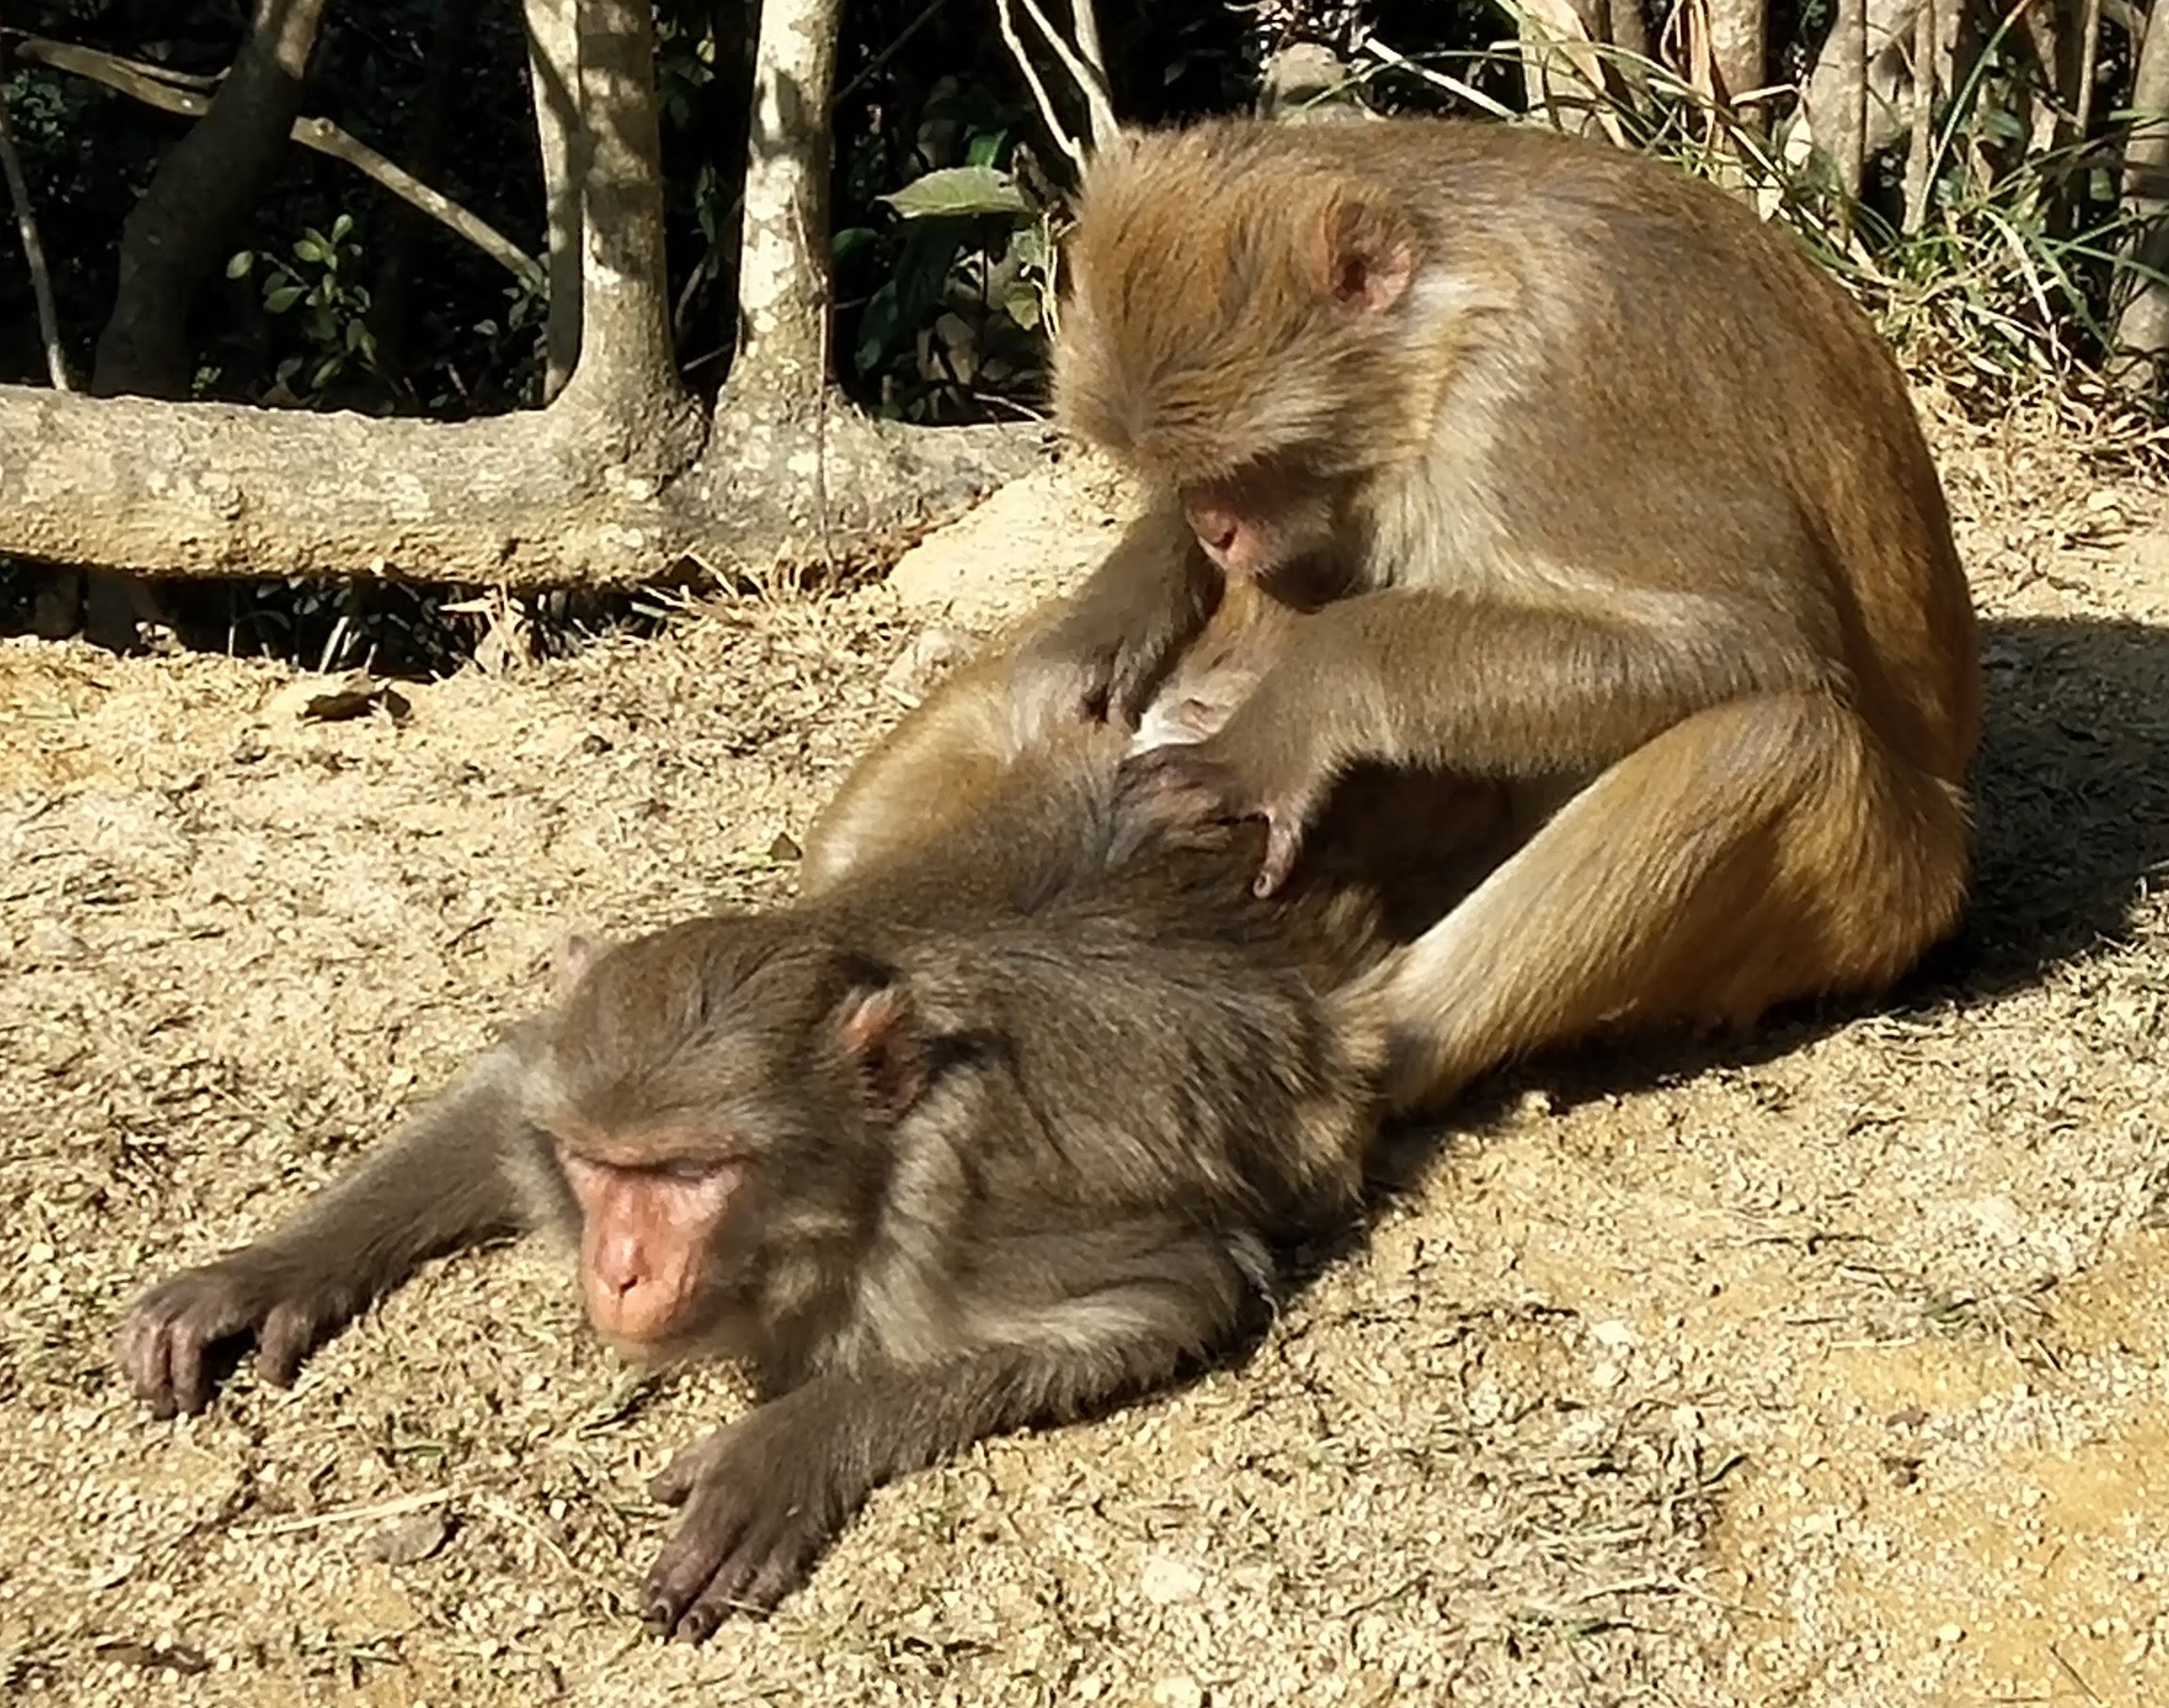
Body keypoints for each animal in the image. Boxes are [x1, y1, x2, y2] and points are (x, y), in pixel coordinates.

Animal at [1014, 110, 1987, 1118]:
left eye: (1249, 465)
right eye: (1184, 474)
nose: (1215, 528)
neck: (1441, 333)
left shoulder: (1539, 398)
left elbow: (1743, 640)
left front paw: (1279, 728)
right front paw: (1121, 608)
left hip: (1874, 895)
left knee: (1778, 742)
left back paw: (1366, 1050)